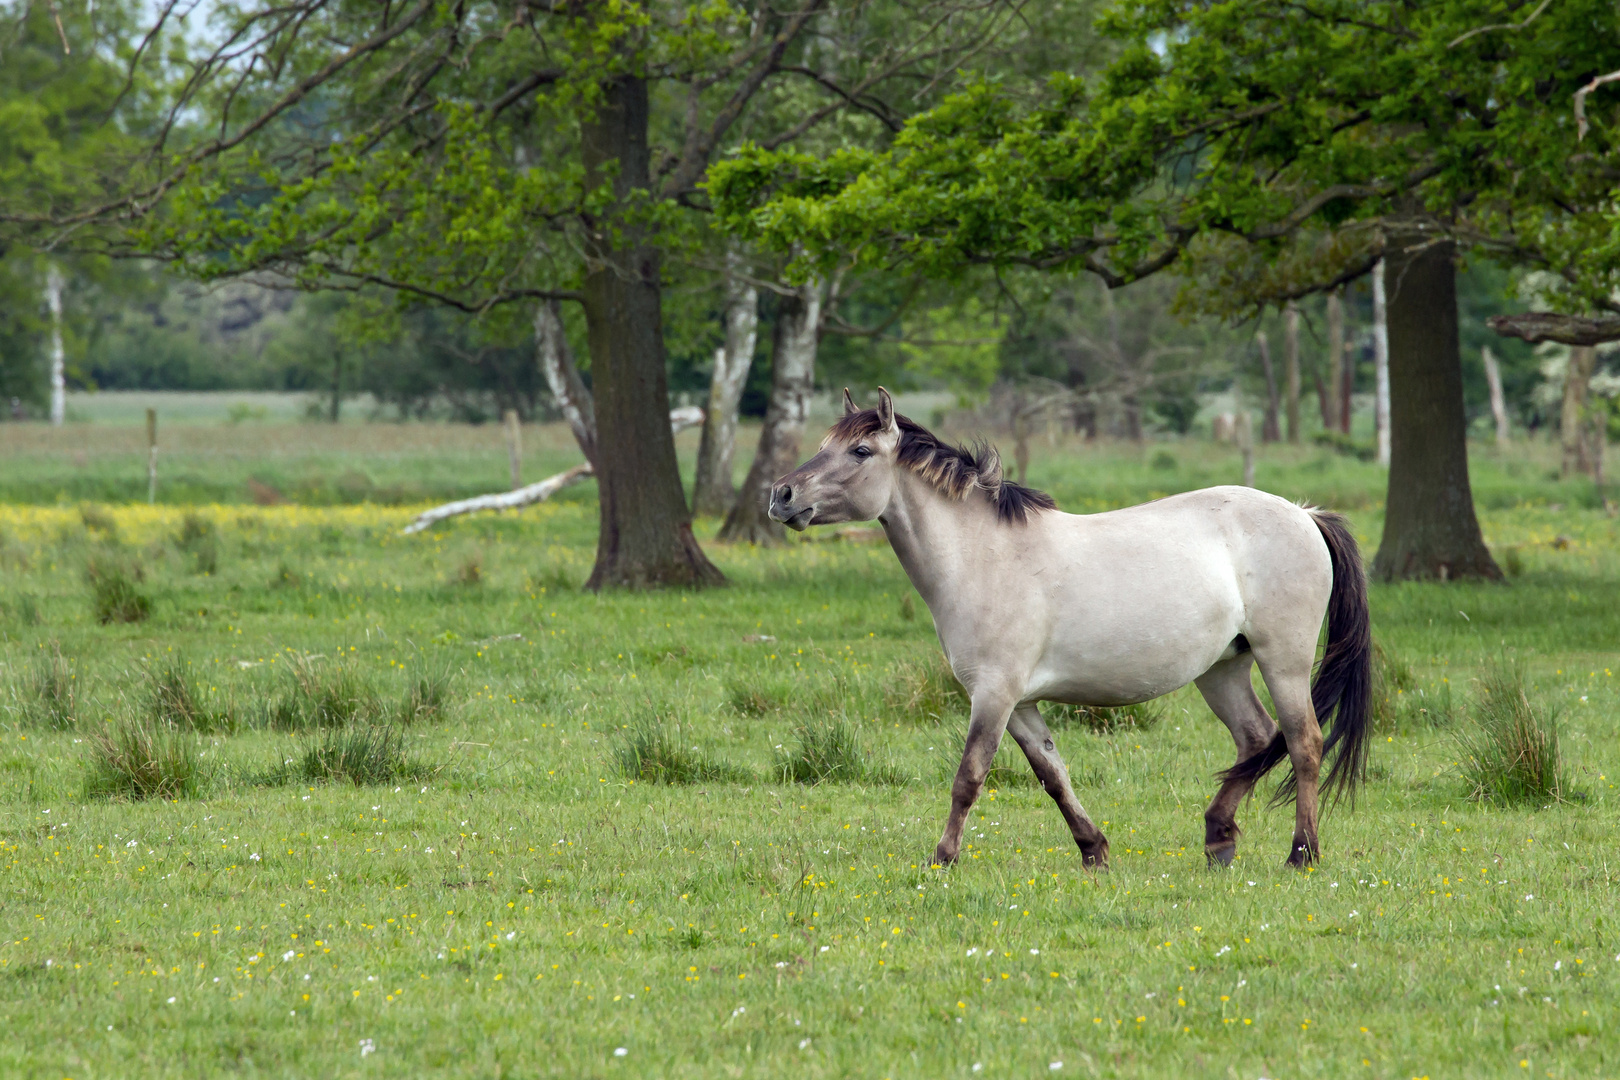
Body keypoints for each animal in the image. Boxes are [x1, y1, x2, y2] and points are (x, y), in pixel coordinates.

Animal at [767, 388, 1367, 867]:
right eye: (825, 444)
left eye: (860, 451)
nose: (781, 496)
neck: (984, 557)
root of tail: (1304, 514)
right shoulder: (1020, 704)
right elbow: (1053, 774)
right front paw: (1093, 849)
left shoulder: (994, 695)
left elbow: (969, 777)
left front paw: (942, 858)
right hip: (1222, 668)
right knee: (1256, 739)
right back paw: (1218, 839)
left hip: (1282, 659)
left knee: (1304, 743)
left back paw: (1301, 853)